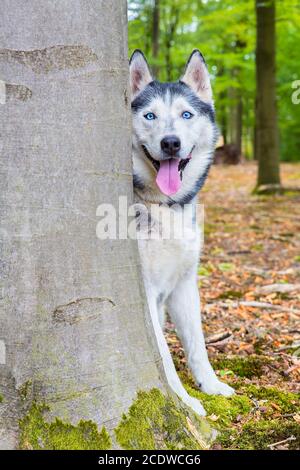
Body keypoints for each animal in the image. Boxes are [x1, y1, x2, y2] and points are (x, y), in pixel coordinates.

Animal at [129, 48, 234, 414]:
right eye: (150, 116)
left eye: (186, 114)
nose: (171, 142)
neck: (166, 206)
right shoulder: (145, 294)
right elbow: (162, 358)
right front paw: (185, 402)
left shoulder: (184, 284)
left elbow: (197, 345)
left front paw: (210, 385)